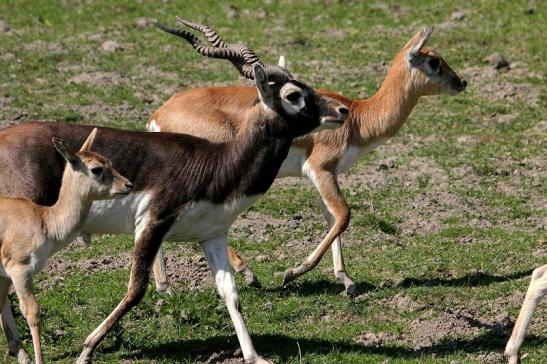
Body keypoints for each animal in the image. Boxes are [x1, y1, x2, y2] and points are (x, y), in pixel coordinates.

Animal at [0, 129, 133, 362]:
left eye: (109, 161)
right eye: (96, 169)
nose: (128, 185)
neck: (45, 221)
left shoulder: (5, 275)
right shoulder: (19, 271)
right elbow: (33, 313)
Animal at [148, 19, 468, 294]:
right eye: (434, 61)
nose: (462, 82)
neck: (359, 118)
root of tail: (158, 115)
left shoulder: (324, 175)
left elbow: (331, 217)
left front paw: (346, 279)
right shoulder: (321, 169)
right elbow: (343, 215)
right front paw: (293, 272)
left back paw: (165, 286)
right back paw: (246, 273)